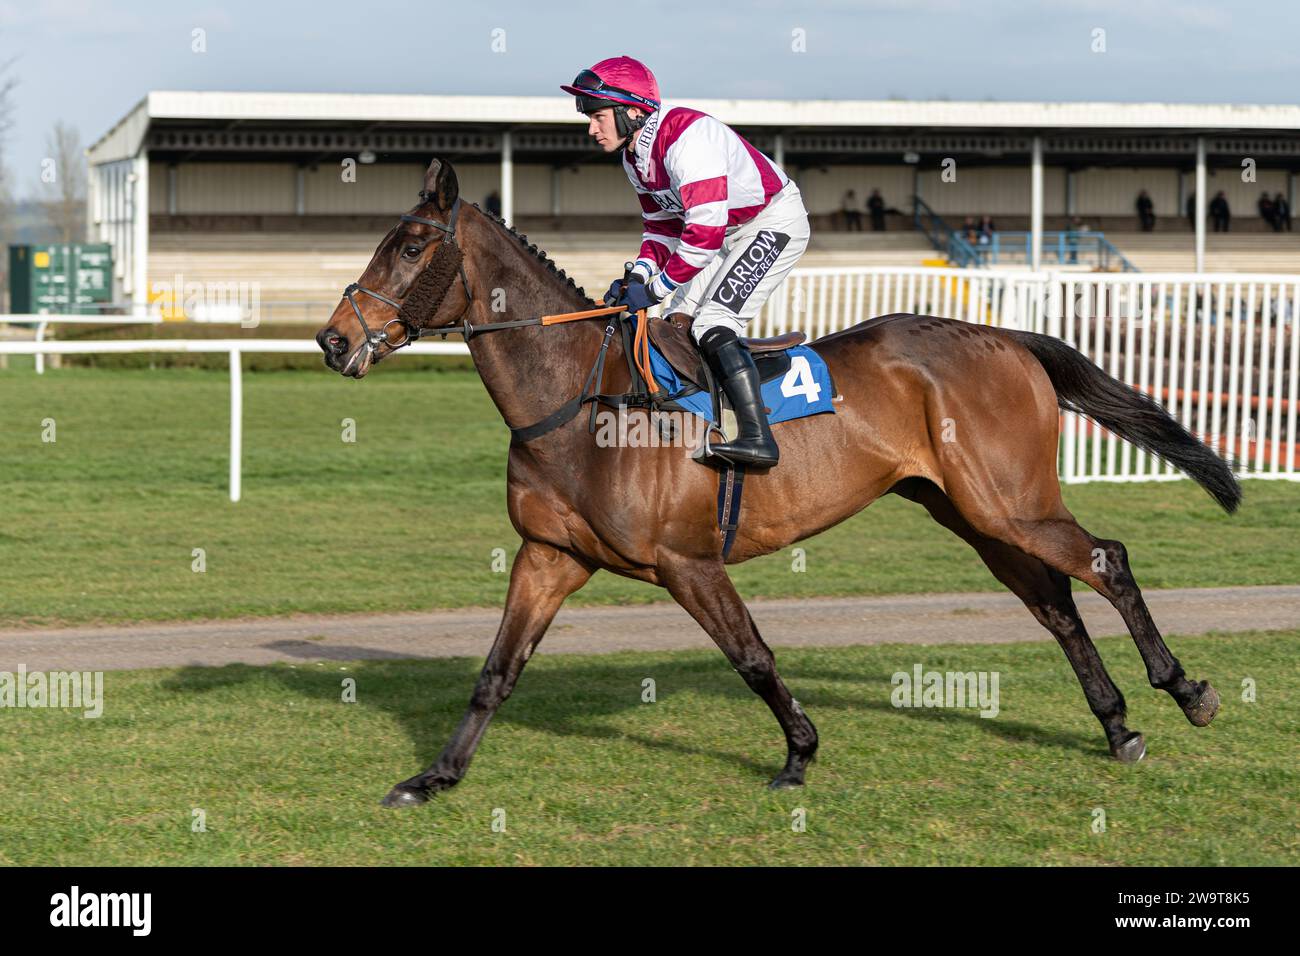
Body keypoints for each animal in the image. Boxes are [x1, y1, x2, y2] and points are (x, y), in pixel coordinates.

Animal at [314, 158, 1237, 806]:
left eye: (410, 246)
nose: (332, 340)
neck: (579, 395)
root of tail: (1005, 336)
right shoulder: (549, 555)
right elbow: (495, 672)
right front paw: (432, 778)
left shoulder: (687, 562)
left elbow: (752, 656)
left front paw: (798, 754)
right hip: (972, 513)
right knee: (1054, 602)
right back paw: (1116, 724)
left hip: (1011, 503)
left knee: (1107, 560)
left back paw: (1184, 690)